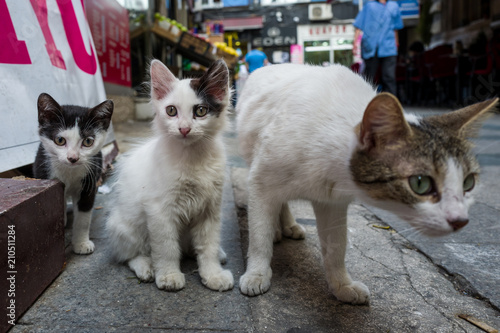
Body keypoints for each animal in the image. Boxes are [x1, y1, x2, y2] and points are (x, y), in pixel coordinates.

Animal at [34, 93, 113, 254]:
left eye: (88, 141)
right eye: (59, 140)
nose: (73, 158)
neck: (70, 172)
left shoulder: (90, 183)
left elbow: (83, 217)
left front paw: (81, 243)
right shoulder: (44, 172)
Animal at [106, 59, 233, 290]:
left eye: (201, 111)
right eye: (171, 111)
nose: (184, 129)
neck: (192, 158)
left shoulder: (210, 209)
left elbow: (208, 245)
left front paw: (213, 275)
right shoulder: (159, 211)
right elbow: (166, 248)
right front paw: (168, 275)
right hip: (125, 228)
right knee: (129, 255)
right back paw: (146, 267)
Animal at [236, 63, 498, 304]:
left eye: (468, 182)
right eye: (420, 183)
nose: (461, 220)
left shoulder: (332, 202)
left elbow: (336, 246)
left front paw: (341, 285)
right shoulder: (261, 182)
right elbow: (259, 236)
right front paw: (257, 272)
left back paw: (288, 225)